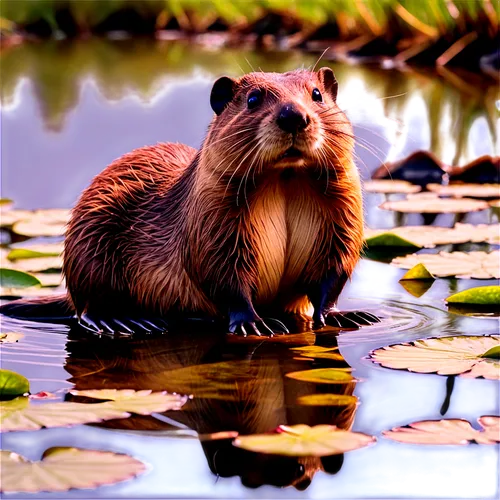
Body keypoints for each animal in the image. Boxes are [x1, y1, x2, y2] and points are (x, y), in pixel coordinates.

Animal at [0, 68, 378, 336]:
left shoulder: (342, 210)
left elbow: (334, 272)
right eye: (253, 98)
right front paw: (255, 322)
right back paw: (127, 322)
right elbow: (221, 274)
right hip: (88, 239)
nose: (293, 116)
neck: (284, 181)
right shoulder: (210, 214)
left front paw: (350, 315)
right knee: (86, 305)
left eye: (316, 94)